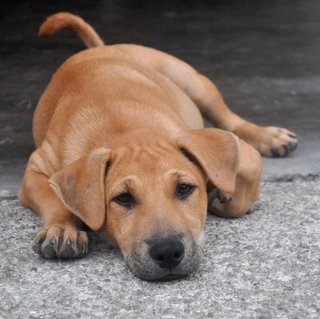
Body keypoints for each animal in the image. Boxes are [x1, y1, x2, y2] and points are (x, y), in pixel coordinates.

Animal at [18, 13, 298, 282]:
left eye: (184, 188)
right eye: (123, 198)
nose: (168, 252)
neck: (127, 131)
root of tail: (100, 48)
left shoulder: (240, 152)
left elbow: (245, 183)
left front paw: (223, 196)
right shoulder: (36, 169)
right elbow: (55, 199)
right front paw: (63, 229)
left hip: (192, 81)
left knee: (230, 118)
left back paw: (270, 137)